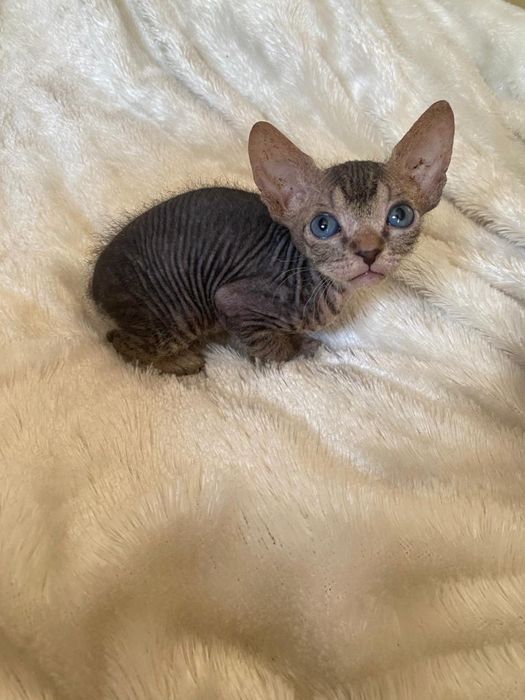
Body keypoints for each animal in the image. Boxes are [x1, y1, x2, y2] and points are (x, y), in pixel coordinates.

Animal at [90, 101, 454, 375]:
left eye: (400, 215)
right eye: (323, 225)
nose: (369, 252)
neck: (325, 285)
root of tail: (94, 285)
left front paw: (301, 341)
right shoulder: (232, 299)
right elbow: (270, 346)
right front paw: (291, 354)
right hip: (178, 313)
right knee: (118, 339)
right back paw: (179, 362)